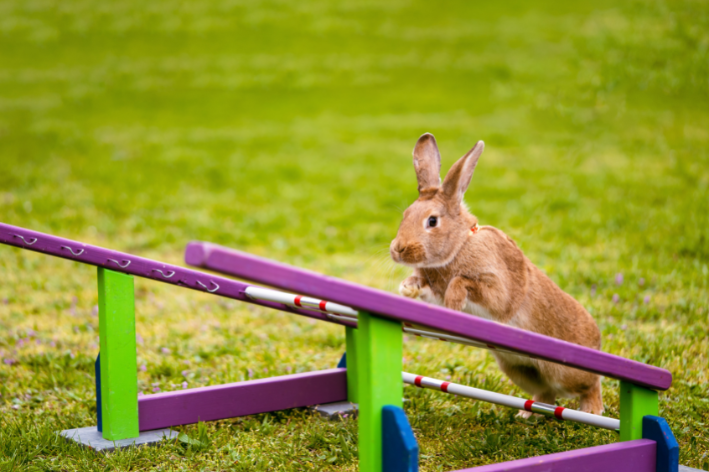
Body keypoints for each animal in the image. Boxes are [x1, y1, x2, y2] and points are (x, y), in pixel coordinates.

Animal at [388, 133, 604, 416]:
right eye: (405, 215)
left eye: (432, 221)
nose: (398, 250)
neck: (461, 244)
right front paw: (408, 287)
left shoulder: (496, 289)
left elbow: (464, 282)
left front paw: (454, 303)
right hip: (518, 368)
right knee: (546, 394)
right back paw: (526, 414)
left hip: (565, 372)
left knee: (590, 385)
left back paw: (592, 410)